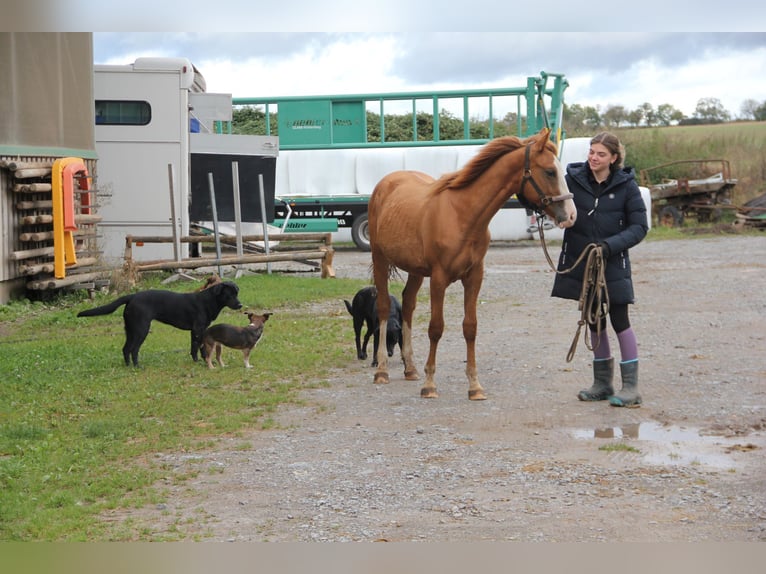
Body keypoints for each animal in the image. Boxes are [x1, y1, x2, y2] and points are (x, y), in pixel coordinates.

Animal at [76, 282, 242, 366]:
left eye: (237, 293)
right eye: (229, 294)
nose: (240, 305)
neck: (208, 301)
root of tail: (132, 297)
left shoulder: (197, 331)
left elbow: (195, 348)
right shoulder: (198, 329)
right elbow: (198, 347)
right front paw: (200, 362)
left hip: (130, 330)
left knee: (125, 349)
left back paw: (128, 366)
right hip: (141, 329)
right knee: (133, 349)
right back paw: (137, 366)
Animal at [370, 130, 576, 400]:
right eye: (550, 172)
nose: (571, 216)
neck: (462, 215)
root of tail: (386, 182)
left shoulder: (474, 277)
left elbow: (470, 328)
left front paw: (475, 386)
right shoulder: (439, 279)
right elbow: (436, 328)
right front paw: (430, 384)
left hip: (416, 271)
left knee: (408, 305)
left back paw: (411, 368)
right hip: (380, 259)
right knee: (384, 307)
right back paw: (382, 371)